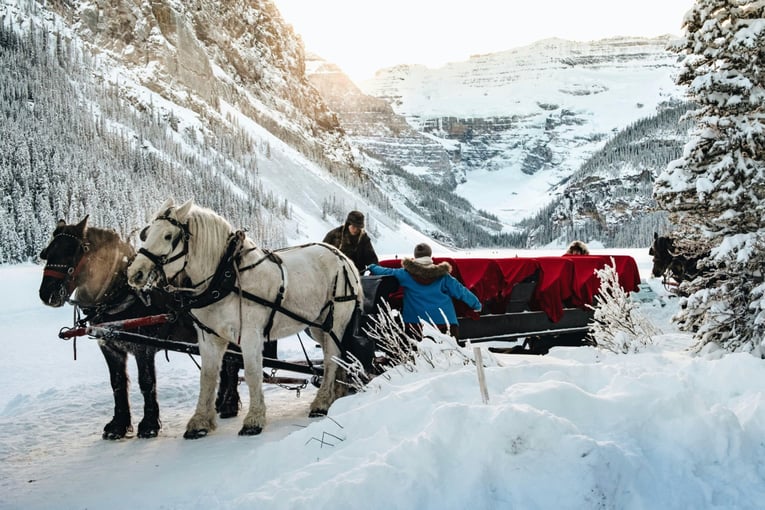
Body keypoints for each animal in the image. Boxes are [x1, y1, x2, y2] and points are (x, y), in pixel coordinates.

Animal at [38, 215, 240, 438]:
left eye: (73, 251)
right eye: (47, 252)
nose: (47, 294)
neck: (120, 294)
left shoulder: (143, 348)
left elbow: (146, 382)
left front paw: (149, 424)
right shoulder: (110, 348)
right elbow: (117, 384)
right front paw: (118, 425)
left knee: (233, 365)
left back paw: (229, 405)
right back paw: (220, 403)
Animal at [127, 199, 362, 438]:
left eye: (168, 236)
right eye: (146, 234)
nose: (135, 273)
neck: (225, 277)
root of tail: (343, 258)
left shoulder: (250, 334)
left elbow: (251, 373)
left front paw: (254, 420)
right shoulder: (209, 336)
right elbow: (208, 376)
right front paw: (200, 422)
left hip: (337, 320)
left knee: (331, 358)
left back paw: (321, 403)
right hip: (318, 325)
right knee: (335, 357)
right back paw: (337, 393)